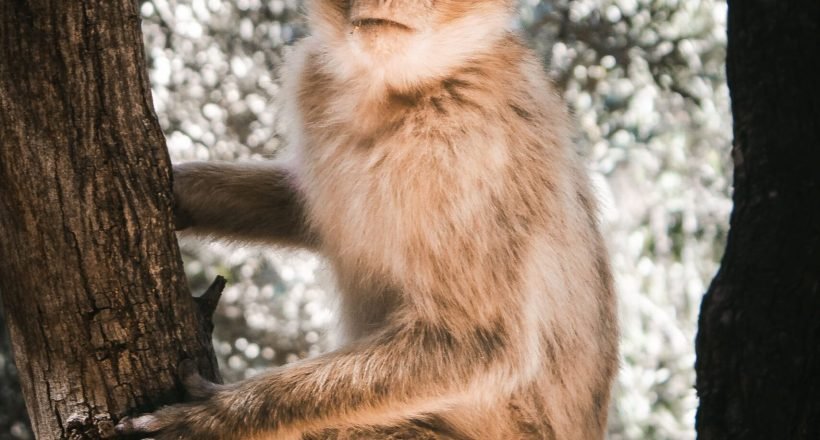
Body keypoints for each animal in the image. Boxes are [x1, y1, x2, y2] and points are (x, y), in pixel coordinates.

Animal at [117, 0, 618, 438]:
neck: (395, 91)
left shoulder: (471, 148)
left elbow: (480, 343)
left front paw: (220, 418)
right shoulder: (315, 83)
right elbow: (303, 208)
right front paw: (183, 192)